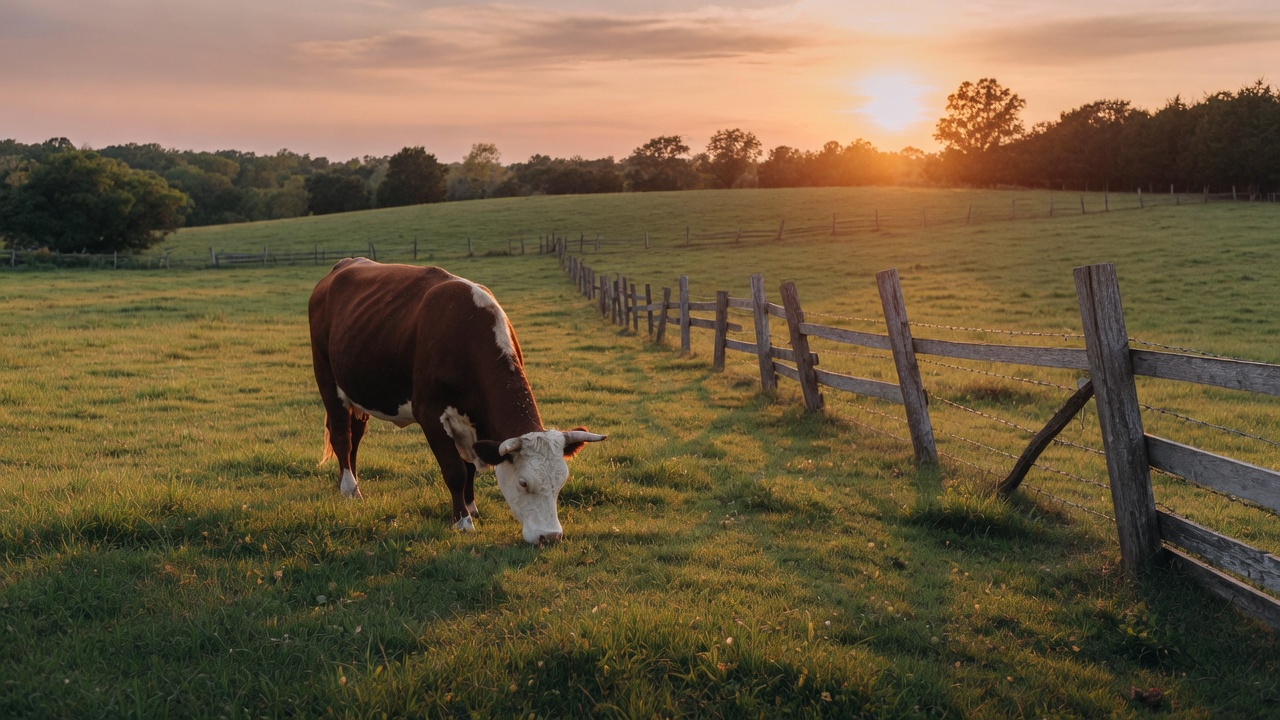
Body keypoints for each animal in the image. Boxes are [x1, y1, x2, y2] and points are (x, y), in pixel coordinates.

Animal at [308, 258, 606, 545]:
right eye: (523, 483)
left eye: (561, 482)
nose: (550, 536)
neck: (465, 335)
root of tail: (342, 266)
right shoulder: (430, 414)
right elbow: (455, 471)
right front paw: (462, 520)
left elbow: (470, 466)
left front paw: (471, 507)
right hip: (326, 377)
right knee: (341, 435)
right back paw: (349, 488)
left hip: (359, 391)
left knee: (355, 435)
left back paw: (350, 482)